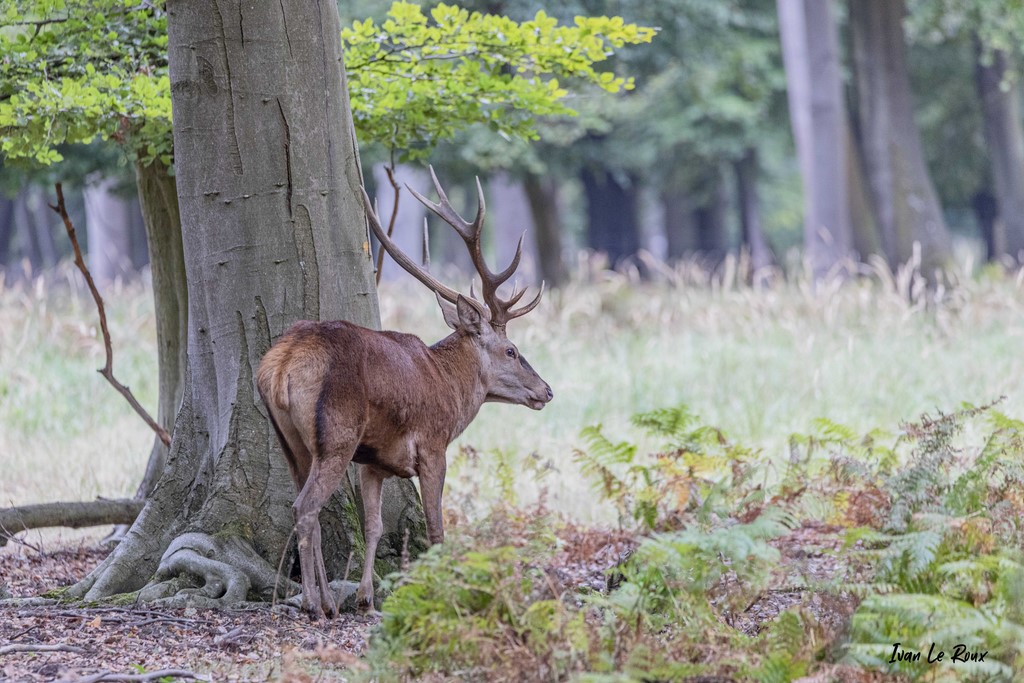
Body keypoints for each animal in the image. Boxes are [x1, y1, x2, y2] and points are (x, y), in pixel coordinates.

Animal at [256, 168, 553, 619]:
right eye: (511, 351)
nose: (547, 390)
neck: (450, 389)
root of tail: (282, 363)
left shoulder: (374, 461)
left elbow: (374, 526)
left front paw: (366, 597)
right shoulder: (432, 445)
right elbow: (436, 526)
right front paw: (442, 592)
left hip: (291, 442)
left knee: (307, 505)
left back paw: (328, 599)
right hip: (337, 436)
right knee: (305, 507)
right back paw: (313, 604)